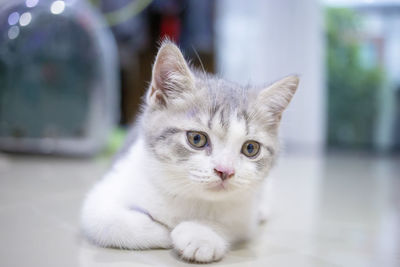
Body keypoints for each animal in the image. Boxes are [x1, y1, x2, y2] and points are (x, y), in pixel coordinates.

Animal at [81, 40, 298, 264]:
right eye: (196, 139)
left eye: (251, 148)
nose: (225, 171)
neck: (189, 196)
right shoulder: (104, 194)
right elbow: (107, 221)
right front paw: (163, 232)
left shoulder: (244, 216)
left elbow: (231, 225)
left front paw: (201, 235)